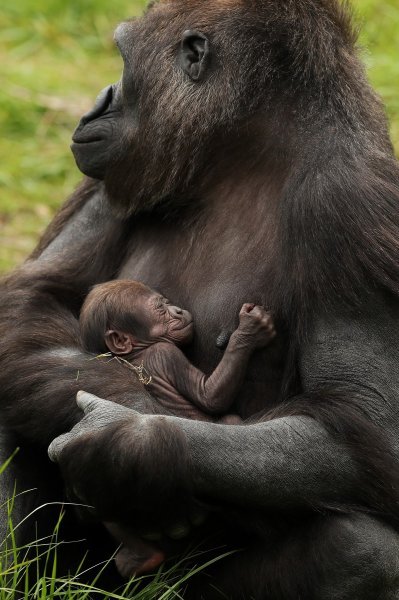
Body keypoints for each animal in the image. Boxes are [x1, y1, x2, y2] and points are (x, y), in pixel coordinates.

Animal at [79, 282, 276, 580]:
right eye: (160, 308)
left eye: (166, 302)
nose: (179, 310)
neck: (136, 352)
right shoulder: (165, 354)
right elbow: (210, 396)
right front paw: (249, 331)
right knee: (229, 420)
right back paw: (145, 556)